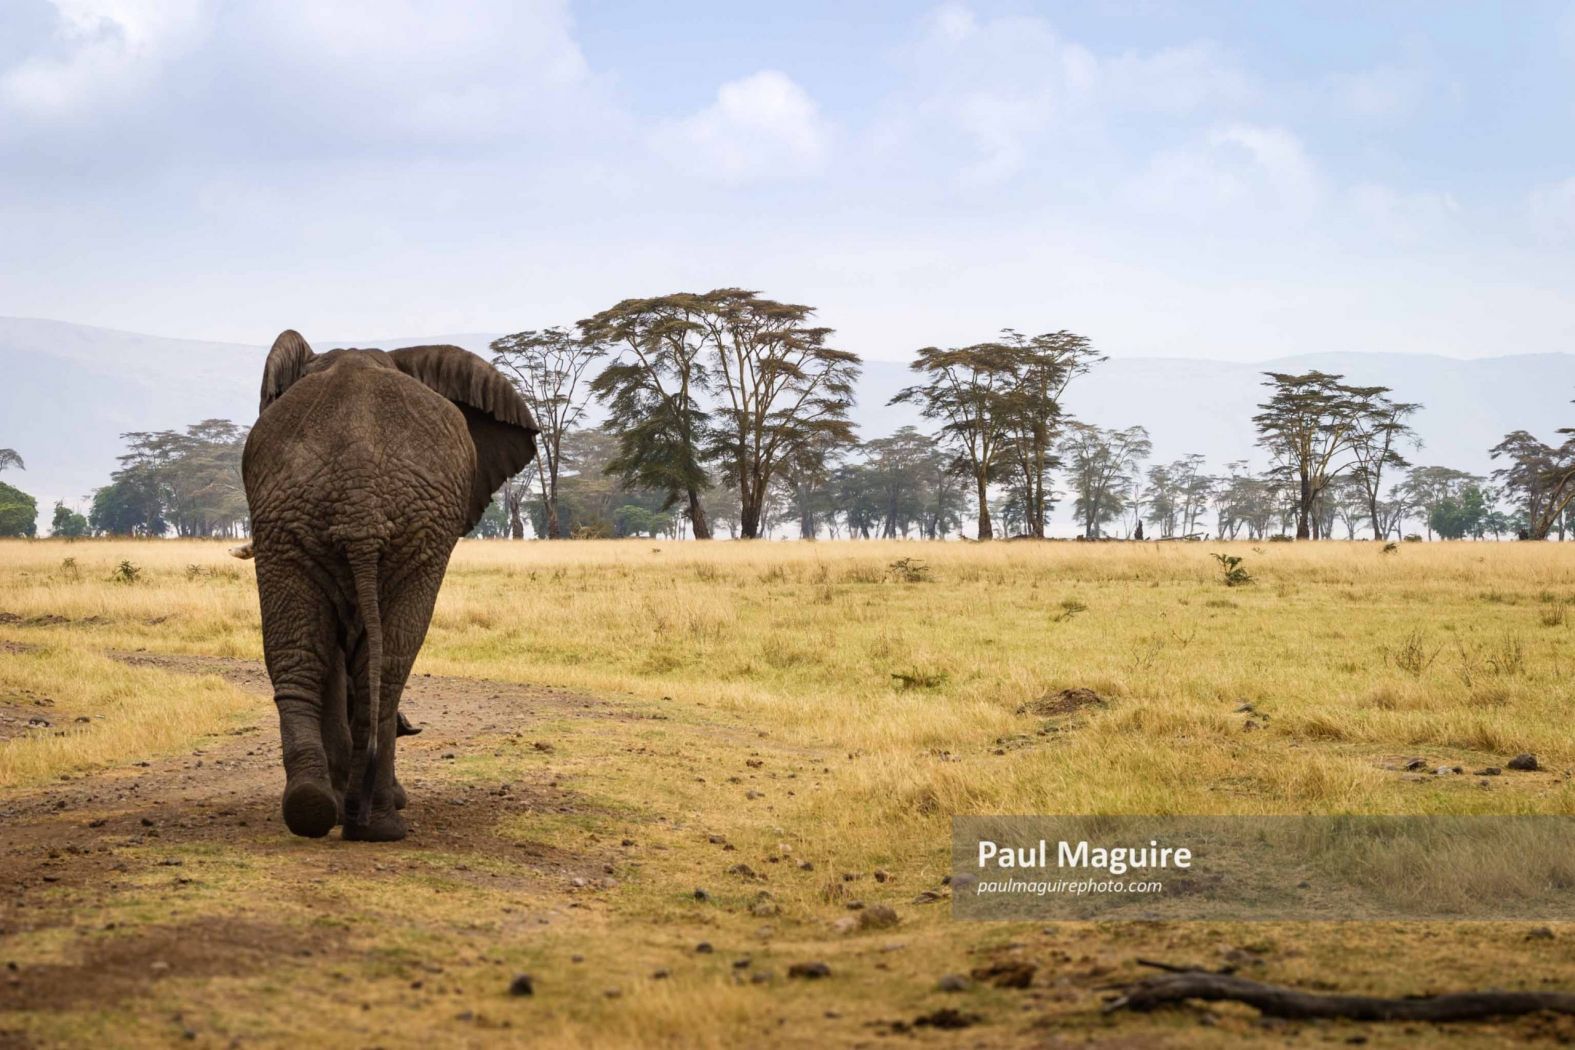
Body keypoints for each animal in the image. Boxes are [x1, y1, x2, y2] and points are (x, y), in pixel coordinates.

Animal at [242, 330, 538, 842]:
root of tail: (359, 494)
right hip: (411, 531)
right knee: (388, 664)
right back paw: (377, 822)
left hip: (287, 518)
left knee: (301, 655)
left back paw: (314, 809)